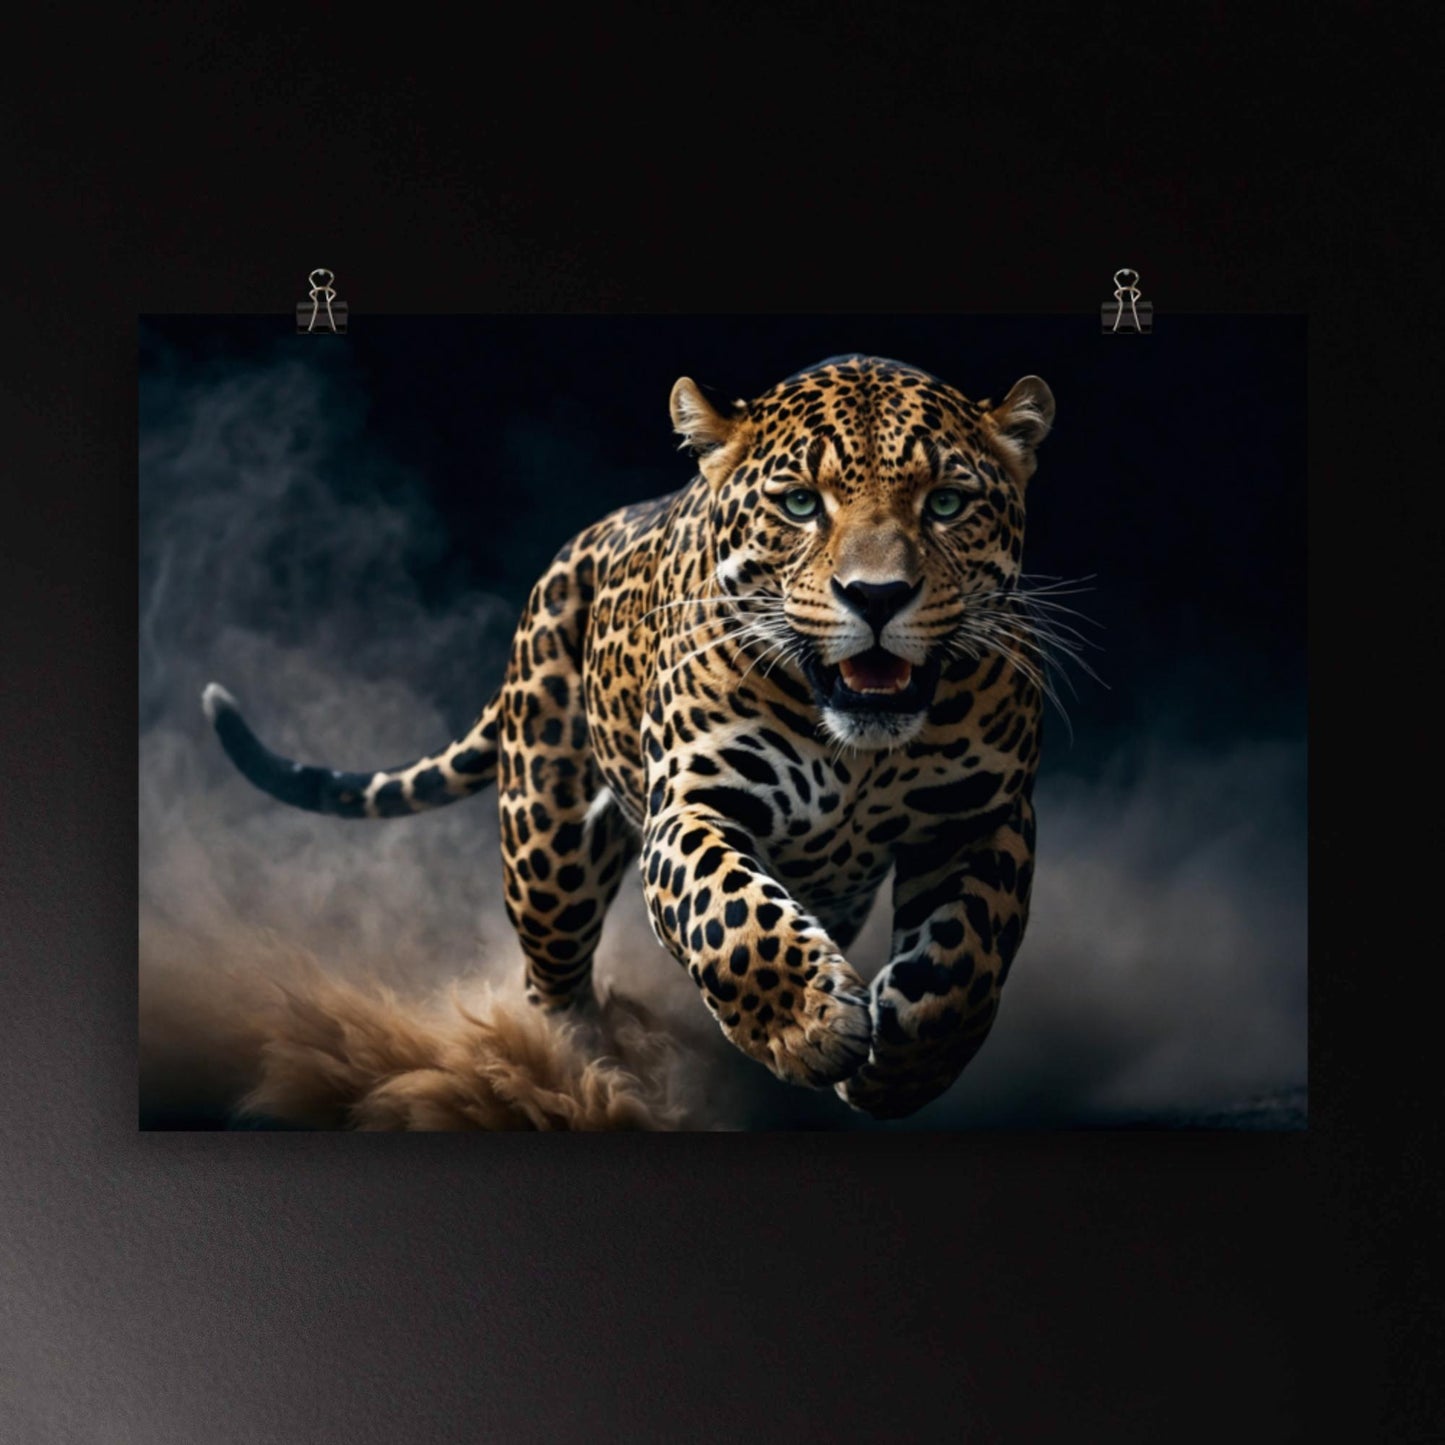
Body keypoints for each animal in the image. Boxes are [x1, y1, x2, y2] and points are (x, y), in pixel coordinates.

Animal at [202, 354, 1056, 1120]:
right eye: (799, 504)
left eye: (946, 503)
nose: (875, 596)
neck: (858, 752)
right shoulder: (692, 803)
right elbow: (732, 916)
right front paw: (807, 1024)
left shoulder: (983, 817)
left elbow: (965, 955)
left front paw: (905, 1065)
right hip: (547, 847)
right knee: (551, 980)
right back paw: (579, 1074)